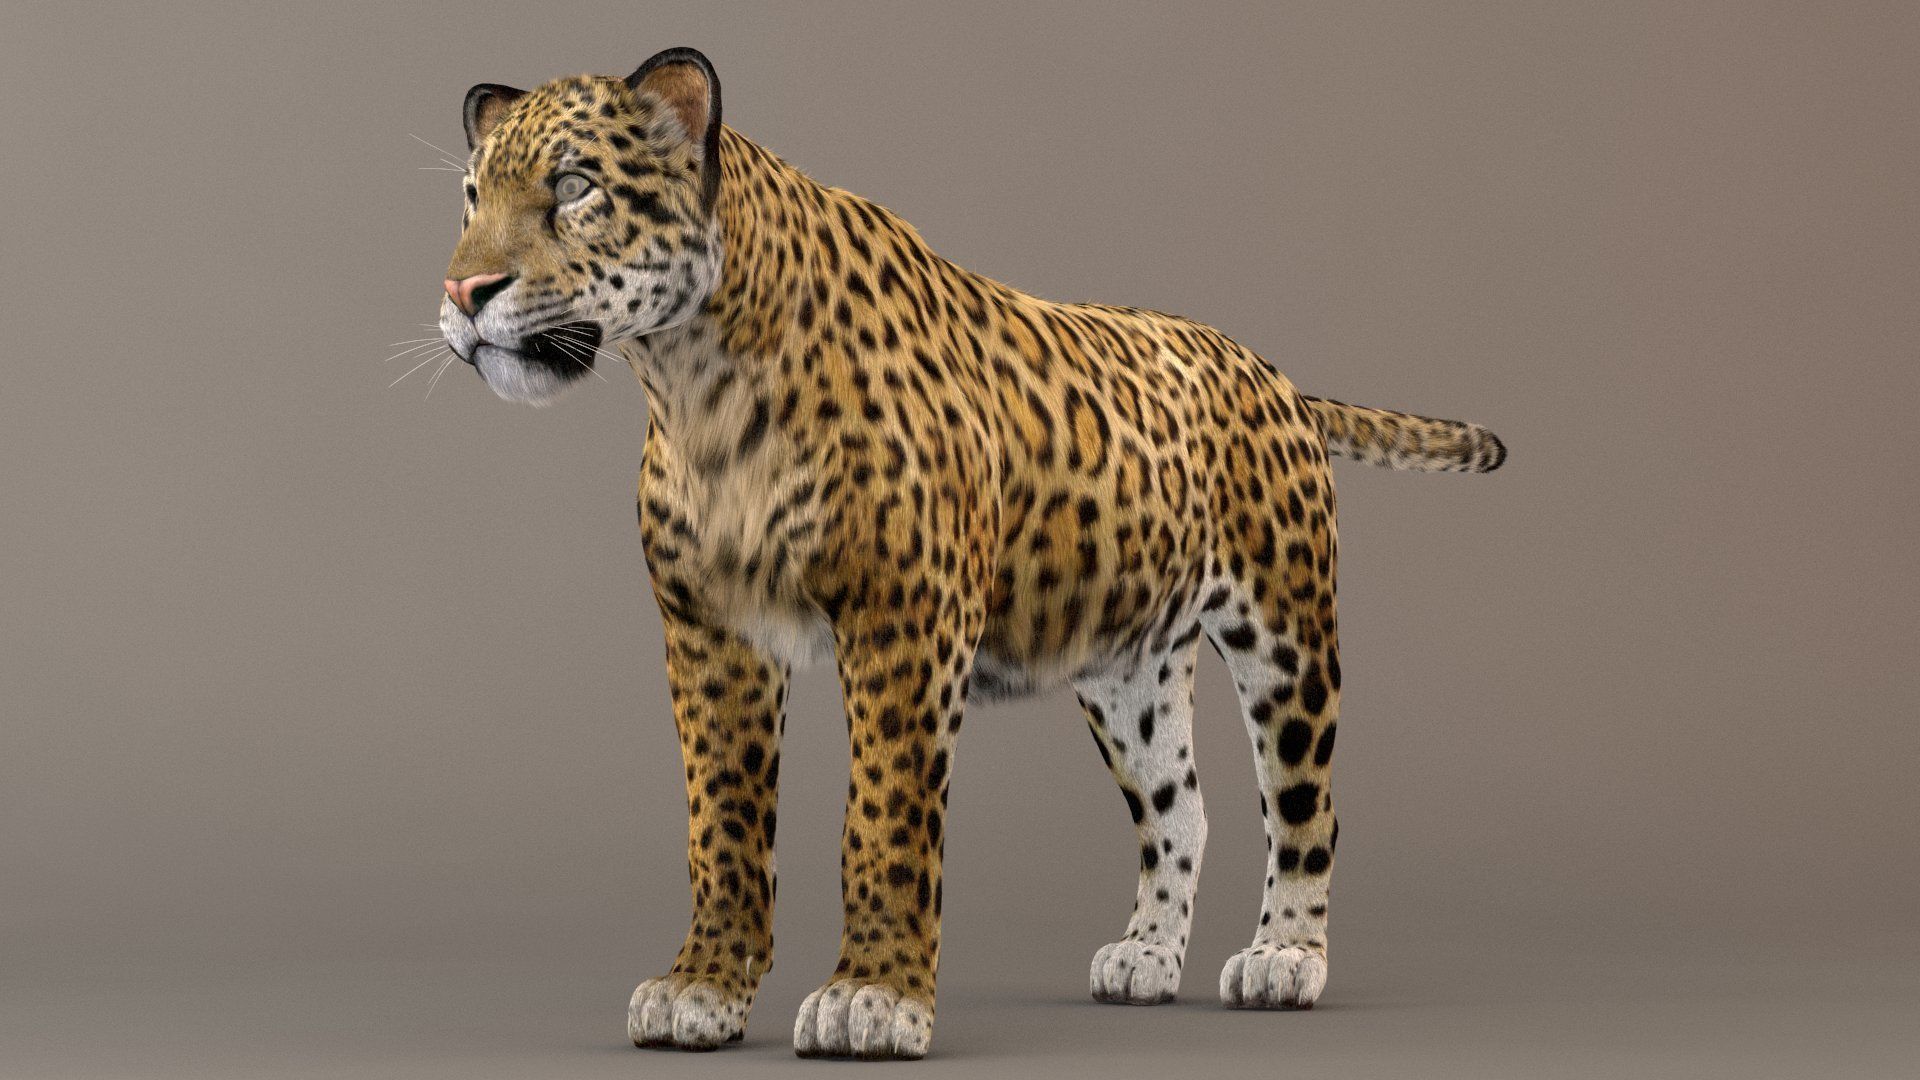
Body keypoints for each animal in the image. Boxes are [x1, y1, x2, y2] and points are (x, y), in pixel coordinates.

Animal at [434, 47, 1507, 1060]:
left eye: (575, 186)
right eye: (473, 196)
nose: (462, 290)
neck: (694, 382)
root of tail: (1273, 375)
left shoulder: (903, 619)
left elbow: (884, 815)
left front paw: (873, 996)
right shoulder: (711, 632)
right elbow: (722, 819)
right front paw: (702, 986)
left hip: (1287, 632)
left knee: (1303, 802)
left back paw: (1284, 955)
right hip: (1129, 669)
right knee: (1181, 812)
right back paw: (1148, 958)